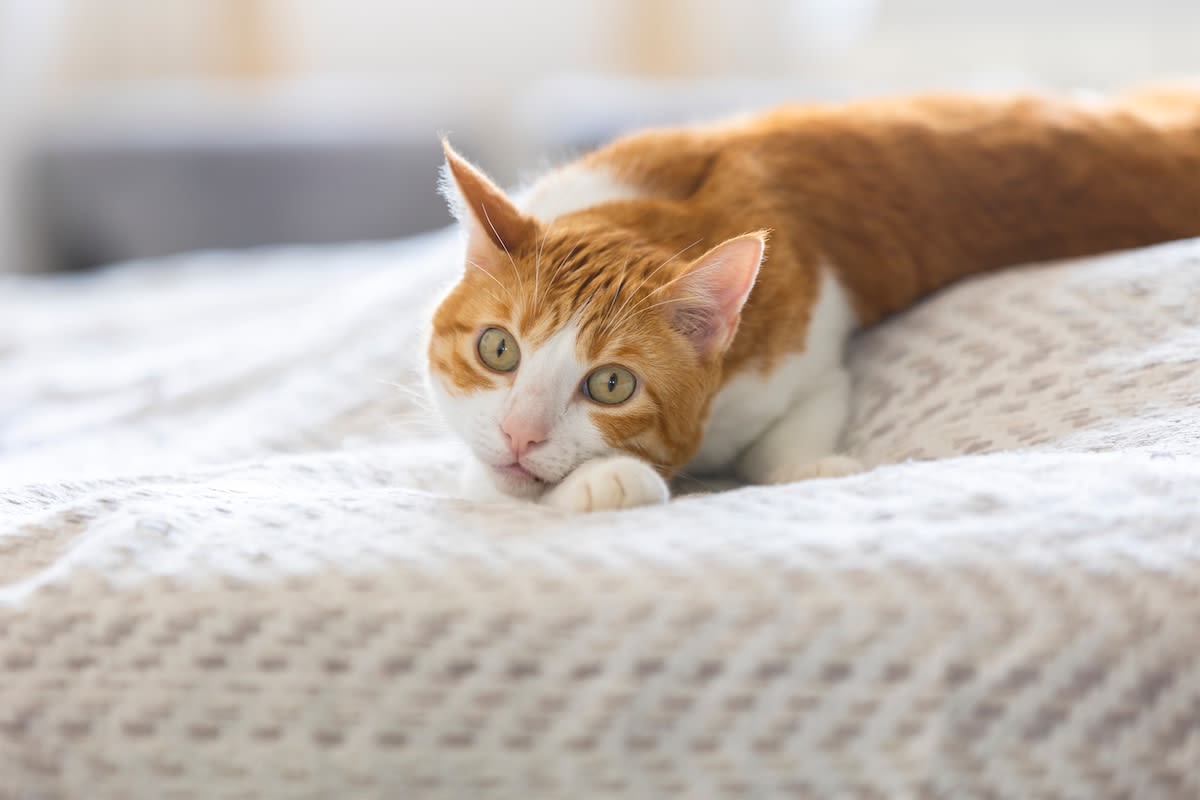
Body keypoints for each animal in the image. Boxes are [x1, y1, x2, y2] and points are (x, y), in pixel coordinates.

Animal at [427, 89, 1200, 513]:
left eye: (611, 385)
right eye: (498, 349)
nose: (521, 435)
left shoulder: (803, 350)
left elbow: (803, 423)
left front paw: (806, 467)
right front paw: (602, 482)